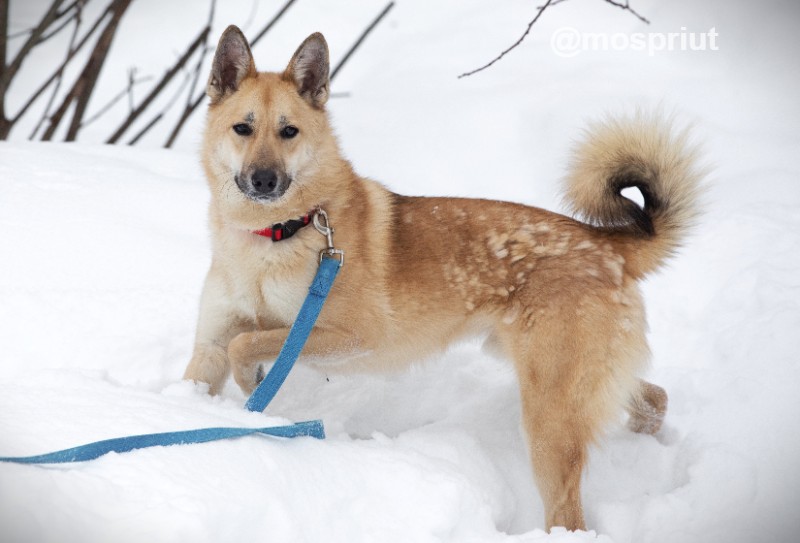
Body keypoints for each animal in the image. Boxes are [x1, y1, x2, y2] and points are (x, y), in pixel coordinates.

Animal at [184, 25, 704, 532]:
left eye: (288, 131)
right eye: (242, 128)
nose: (263, 180)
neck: (273, 235)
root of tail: (606, 244)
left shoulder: (350, 334)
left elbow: (248, 343)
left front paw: (252, 387)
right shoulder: (209, 346)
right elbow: (211, 365)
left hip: (548, 416)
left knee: (572, 516)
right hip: (563, 375)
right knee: (653, 396)